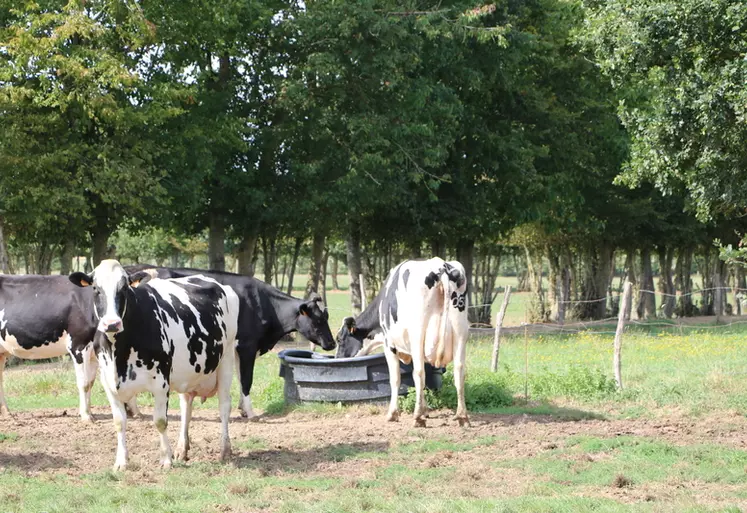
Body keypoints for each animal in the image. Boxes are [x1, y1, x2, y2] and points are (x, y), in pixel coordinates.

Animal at [0, 274, 101, 422]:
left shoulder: (93, 351)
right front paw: (86, 416)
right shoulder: (78, 346)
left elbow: (90, 382)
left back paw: (7, 413)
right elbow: (84, 383)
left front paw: (90, 413)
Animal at [69, 260, 240, 468]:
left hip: (227, 358)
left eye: (124, 288)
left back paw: (225, 450)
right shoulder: (108, 382)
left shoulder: (161, 382)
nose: (111, 324)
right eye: (95, 288)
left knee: (224, 405)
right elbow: (119, 422)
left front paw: (165, 459)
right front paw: (121, 461)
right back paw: (181, 449)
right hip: (189, 371)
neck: (120, 354)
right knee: (186, 407)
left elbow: (160, 421)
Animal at [125, 266, 336, 418]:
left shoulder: (237, 350)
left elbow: (241, 378)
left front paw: (242, 408)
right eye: (318, 320)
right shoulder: (247, 346)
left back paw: (134, 411)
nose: (332, 343)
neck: (263, 303)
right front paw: (250, 412)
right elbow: (247, 379)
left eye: (326, 316)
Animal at [338, 258, 470, 426]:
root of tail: (441, 266)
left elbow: (395, 379)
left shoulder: (389, 344)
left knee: (419, 373)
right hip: (461, 332)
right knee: (459, 371)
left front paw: (393, 413)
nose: (337, 358)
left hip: (418, 335)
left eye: (339, 339)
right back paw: (462, 416)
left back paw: (417, 418)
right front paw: (425, 410)